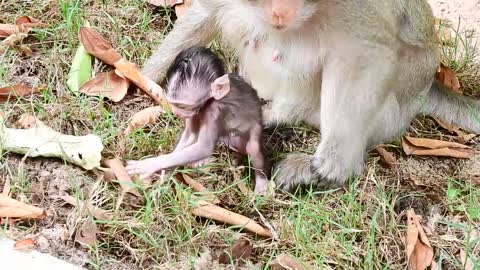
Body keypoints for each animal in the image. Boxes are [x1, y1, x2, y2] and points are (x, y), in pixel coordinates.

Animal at [126, 47, 270, 194]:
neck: (210, 101)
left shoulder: (214, 110)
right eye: (173, 104)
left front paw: (152, 165)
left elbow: (204, 147)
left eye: (183, 106)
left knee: (253, 147)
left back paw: (261, 184)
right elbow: (190, 135)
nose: (176, 112)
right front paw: (164, 175)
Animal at [141, 0, 480, 190]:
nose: (280, 11)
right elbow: (208, 10)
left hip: (393, 109)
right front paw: (145, 78)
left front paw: (336, 164)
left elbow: (366, 55)